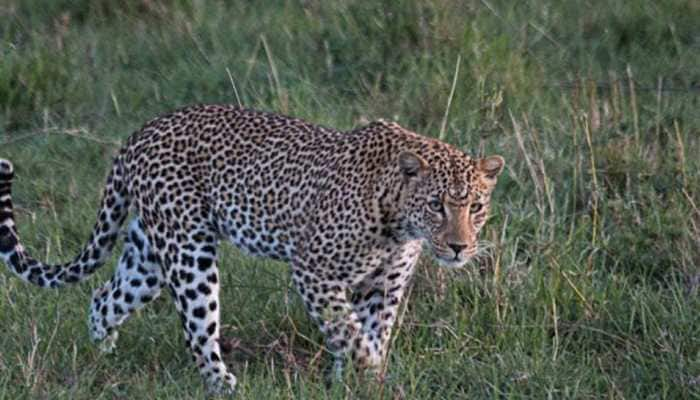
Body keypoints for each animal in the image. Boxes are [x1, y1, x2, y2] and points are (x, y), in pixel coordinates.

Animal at [0, 104, 504, 396]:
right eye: (437, 205)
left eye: (476, 207)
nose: (459, 248)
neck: (398, 221)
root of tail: (138, 134)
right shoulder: (314, 270)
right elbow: (349, 333)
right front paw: (369, 373)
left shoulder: (384, 285)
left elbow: (370, 331)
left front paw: (360, 382)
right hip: (188, 253)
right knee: (197, 329)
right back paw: (222, 384)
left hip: (148, 256)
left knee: (104, 297)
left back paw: (102, 352)